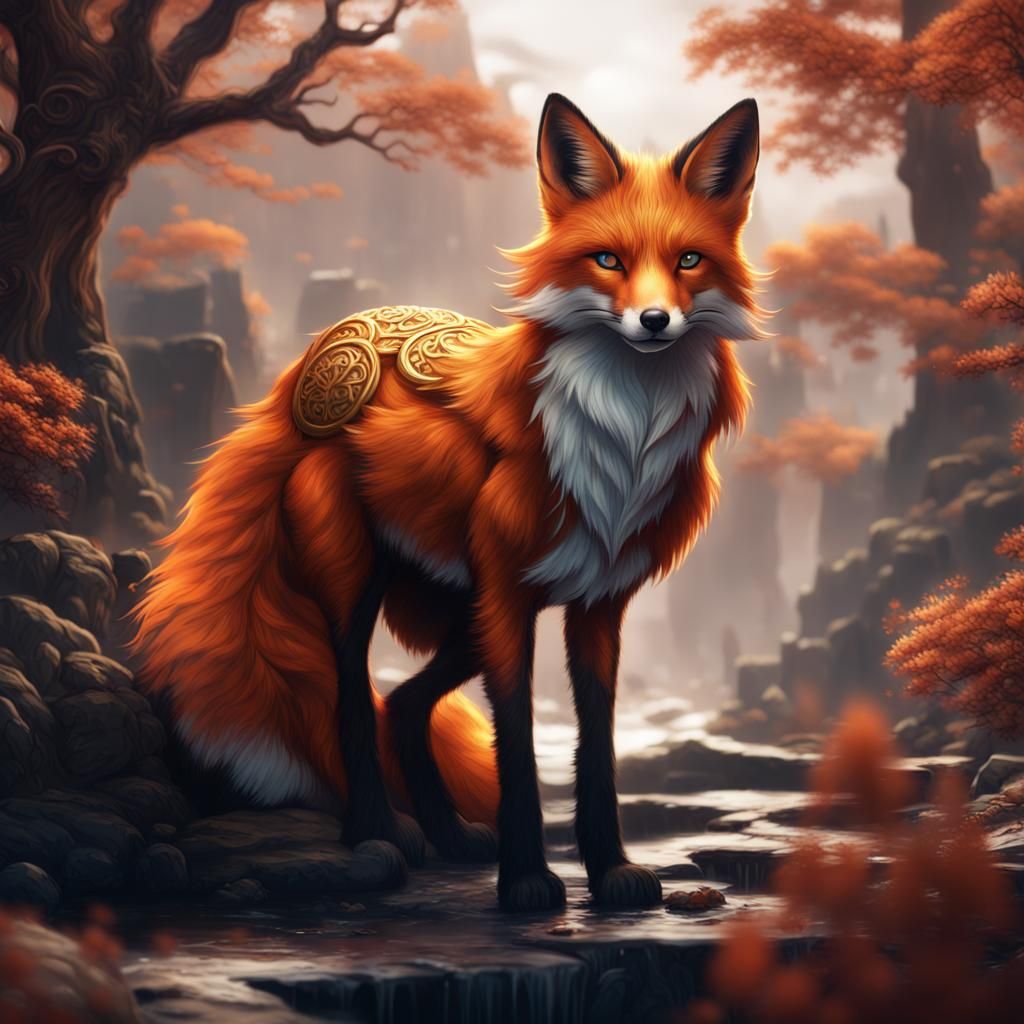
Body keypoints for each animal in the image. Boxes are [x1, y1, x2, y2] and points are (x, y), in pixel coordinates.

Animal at [133, 93, 765, 912]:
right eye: (609, 261)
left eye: (689, 261)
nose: (654, 322)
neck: (619, 439)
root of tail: (314, 361)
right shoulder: (507, 598)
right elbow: (518, 743)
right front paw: (526, 880)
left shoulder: (598, 604)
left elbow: (597, 742)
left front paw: (610, 871)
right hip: (363, 584)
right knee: (353, 700)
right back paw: (380, 834)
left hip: (458, 612)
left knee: (403, 707)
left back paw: (450, 836)